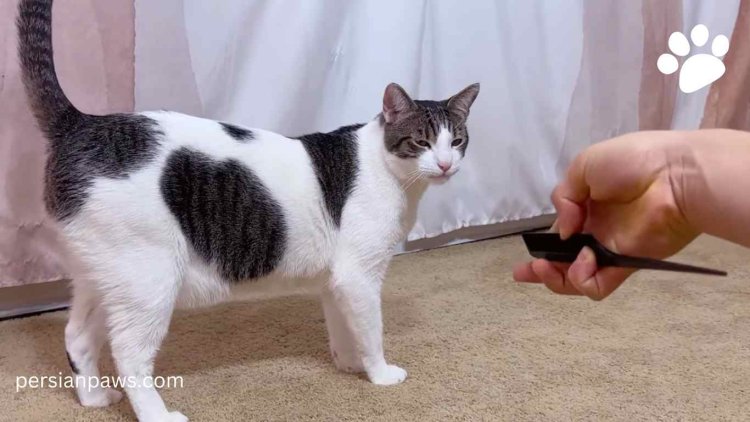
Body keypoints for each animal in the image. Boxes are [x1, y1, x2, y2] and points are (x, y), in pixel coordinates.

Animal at [19, 0, 482, 420]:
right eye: (421, 141)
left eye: (457, 141)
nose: (446, 164)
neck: (391, 174)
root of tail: (82, 124)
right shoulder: (359, 276)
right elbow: (371, 330)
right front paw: (380, 374)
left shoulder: (336, 281)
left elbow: (344, 327)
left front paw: (349, 365)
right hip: (148, 280)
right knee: (129, 354)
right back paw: (157, 414)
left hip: (103, 278)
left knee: (77, 337)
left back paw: (94, 398)